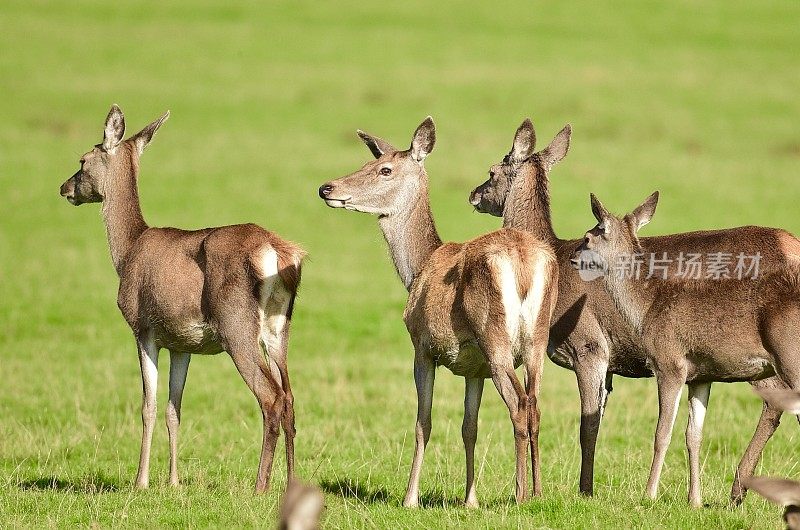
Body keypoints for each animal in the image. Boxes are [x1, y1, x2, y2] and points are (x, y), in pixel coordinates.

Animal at [58, 104, 304, 490]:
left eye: (82, 160)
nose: (64, 187)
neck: (127, 251)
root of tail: (279, 253)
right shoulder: (181, 343)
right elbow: (174, 408)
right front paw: (174, 482)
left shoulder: (143, 327)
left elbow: (148, 405)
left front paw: (141, 481)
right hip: (279, 329)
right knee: (291, 396)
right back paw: (291, 482)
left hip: (236, 326)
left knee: (271, 397)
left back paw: (260, 486)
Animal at [318, 117, 556, 506]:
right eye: (368, 162)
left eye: (384, 169)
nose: (327, 188)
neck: (417, 269)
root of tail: (523, 262)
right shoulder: (475, 368)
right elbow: (469, 427)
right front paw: (470, 500)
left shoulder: (422, 346)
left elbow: (423, 422)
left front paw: (410, 498)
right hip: (536, 341)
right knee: (534, 404)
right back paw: (537, 491)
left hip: (496, 338)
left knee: (519, 405)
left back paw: (520, 494)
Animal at [572, 192, 800, 506]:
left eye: (587, 237)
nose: (572, 257)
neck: (647, 307)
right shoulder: (701, 376)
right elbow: (694, 434)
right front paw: (695, 500)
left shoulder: (669, 363)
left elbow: (662, 433)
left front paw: (649, 495)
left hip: (789, 357)